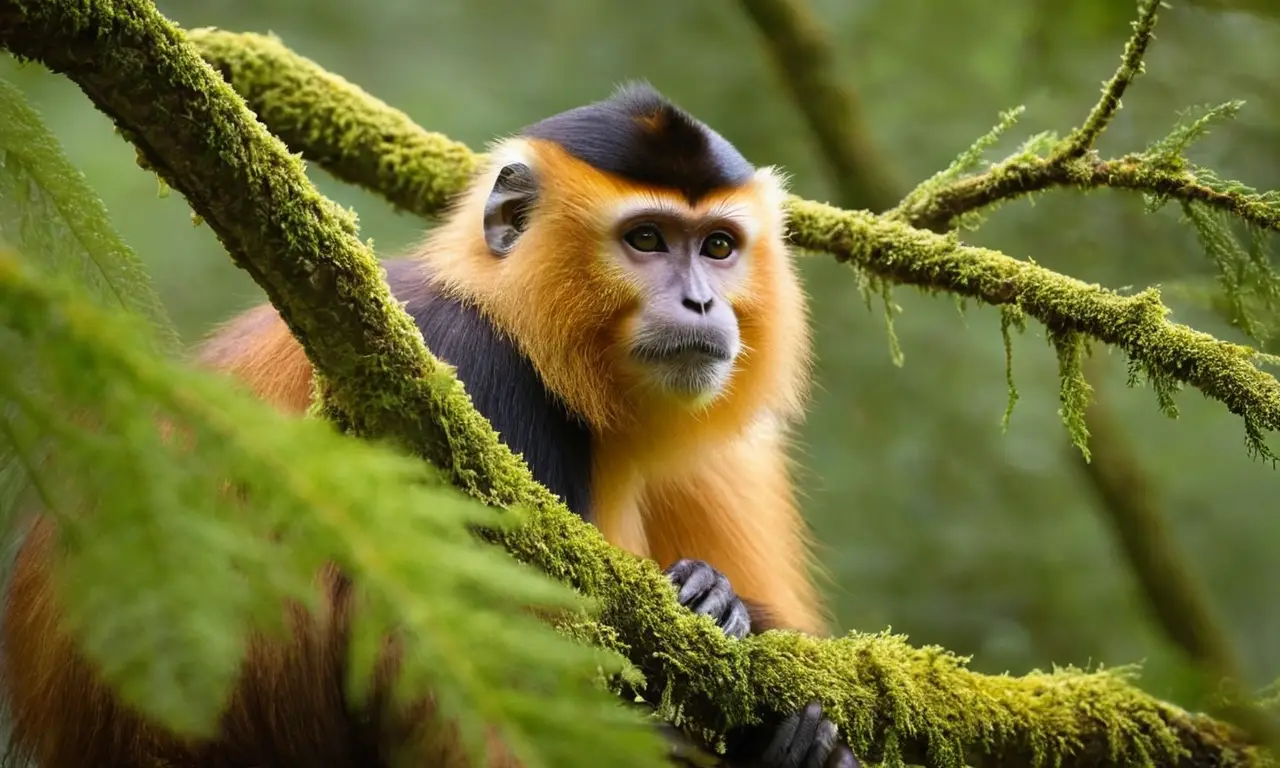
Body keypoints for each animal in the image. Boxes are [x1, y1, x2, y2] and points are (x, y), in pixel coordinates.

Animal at [1, 82, 858, 768]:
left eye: (718, 247)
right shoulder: (468, 364)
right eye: (646, 239)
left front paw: (726, 610)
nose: (702, 303)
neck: (528, 329)